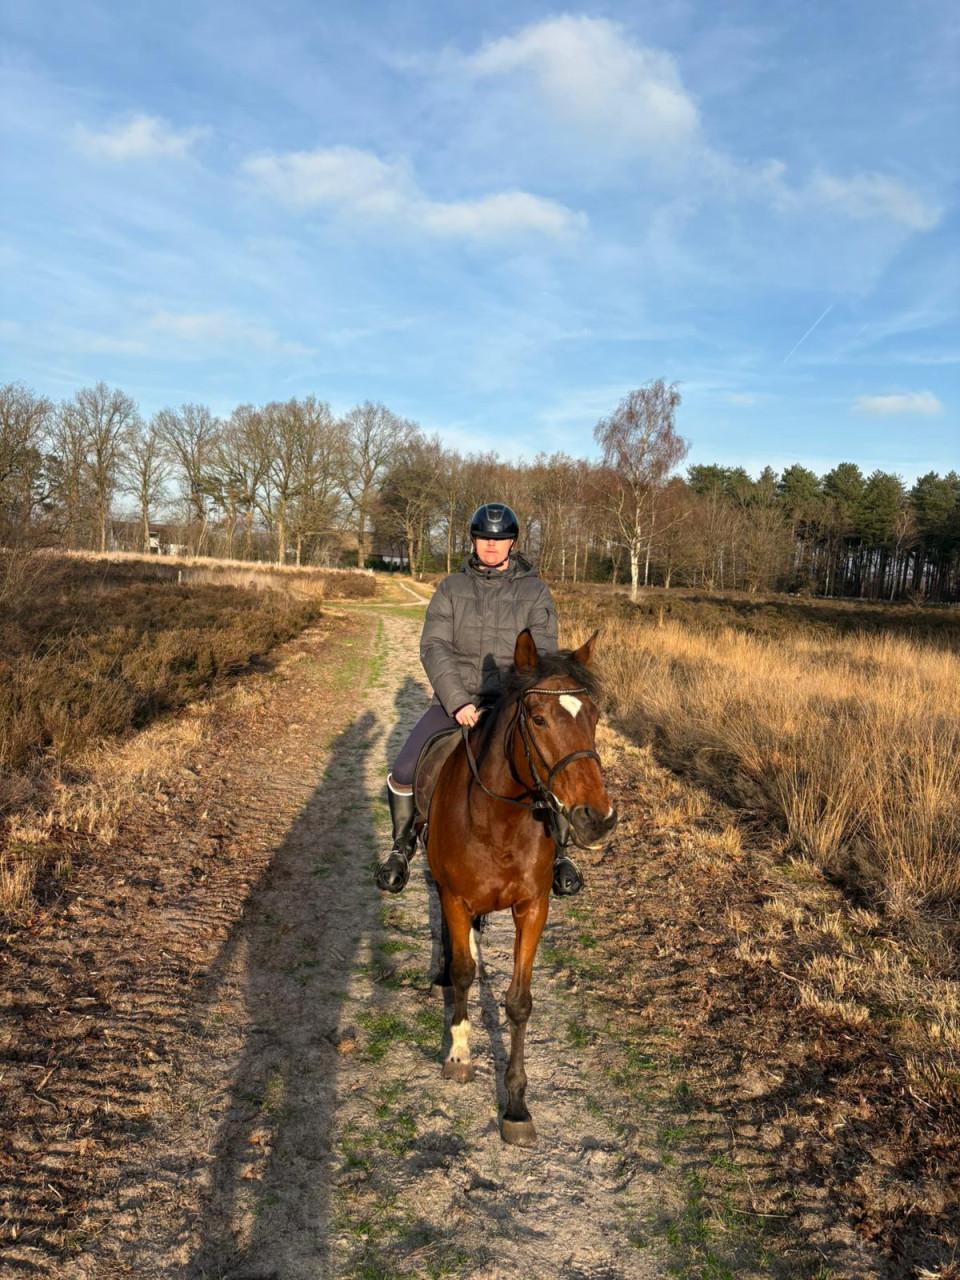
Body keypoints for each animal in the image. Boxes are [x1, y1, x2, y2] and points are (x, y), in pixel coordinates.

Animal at [425, 627, 618, 1146]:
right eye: (538, 718)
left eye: (594, 716)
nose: (597, 818)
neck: (499, 824)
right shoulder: (455, 896)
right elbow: (465, 973)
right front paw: (458, 1054)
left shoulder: (533, 908)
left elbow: (518, 1003)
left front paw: (515, 1106)